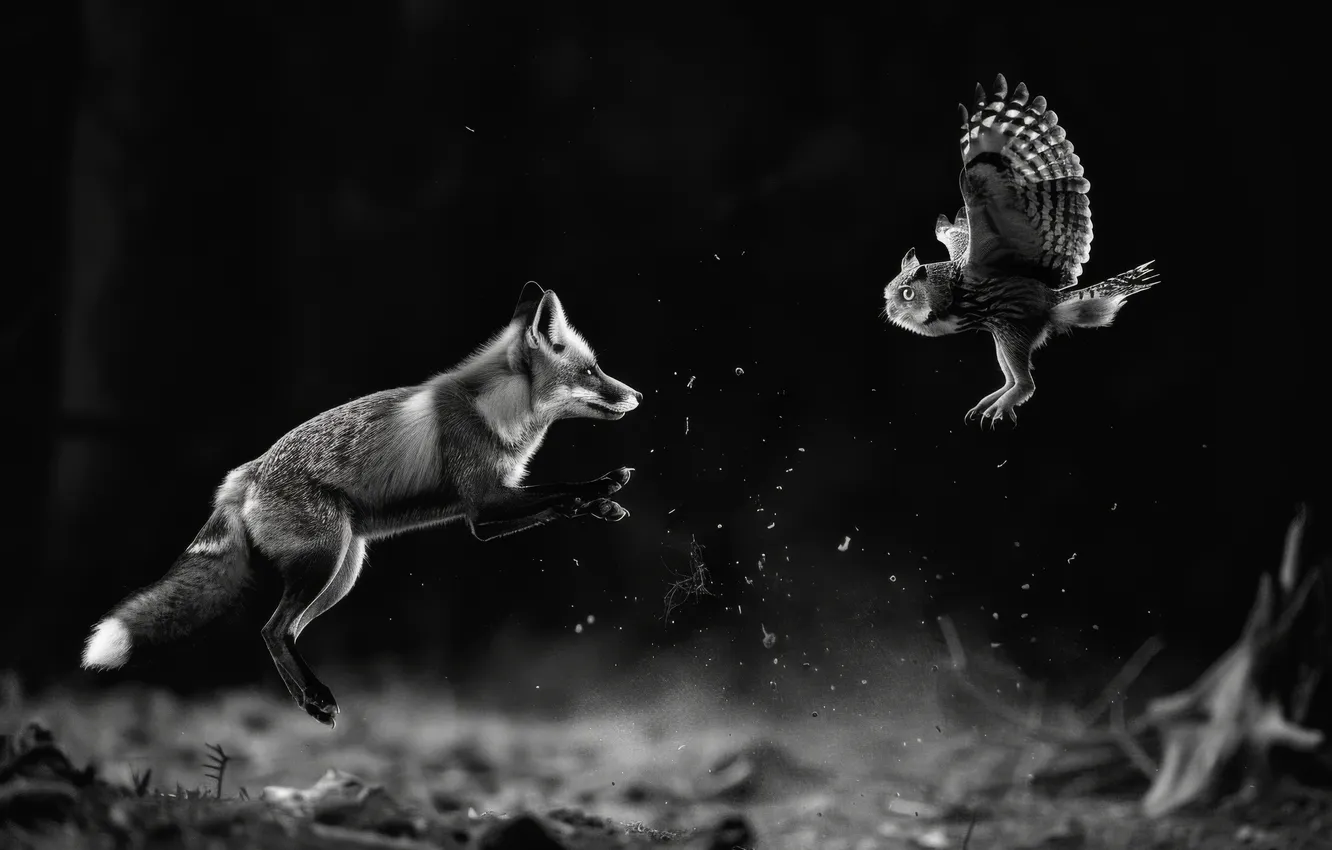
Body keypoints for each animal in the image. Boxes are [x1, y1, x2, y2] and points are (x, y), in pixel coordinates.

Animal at [80, 282, 642, 726]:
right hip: (325, 563)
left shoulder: (490, 506)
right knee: (273, 628)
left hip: (342, 573)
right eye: (592, 372)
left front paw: (601, 502)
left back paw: (308, 703)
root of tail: (245, 474)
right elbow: (557, 489)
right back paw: (317, 698)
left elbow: (555, 501)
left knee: (281, 632)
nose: (637, 396)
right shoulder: (483, 507)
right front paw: (602, 486)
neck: (494, 409)